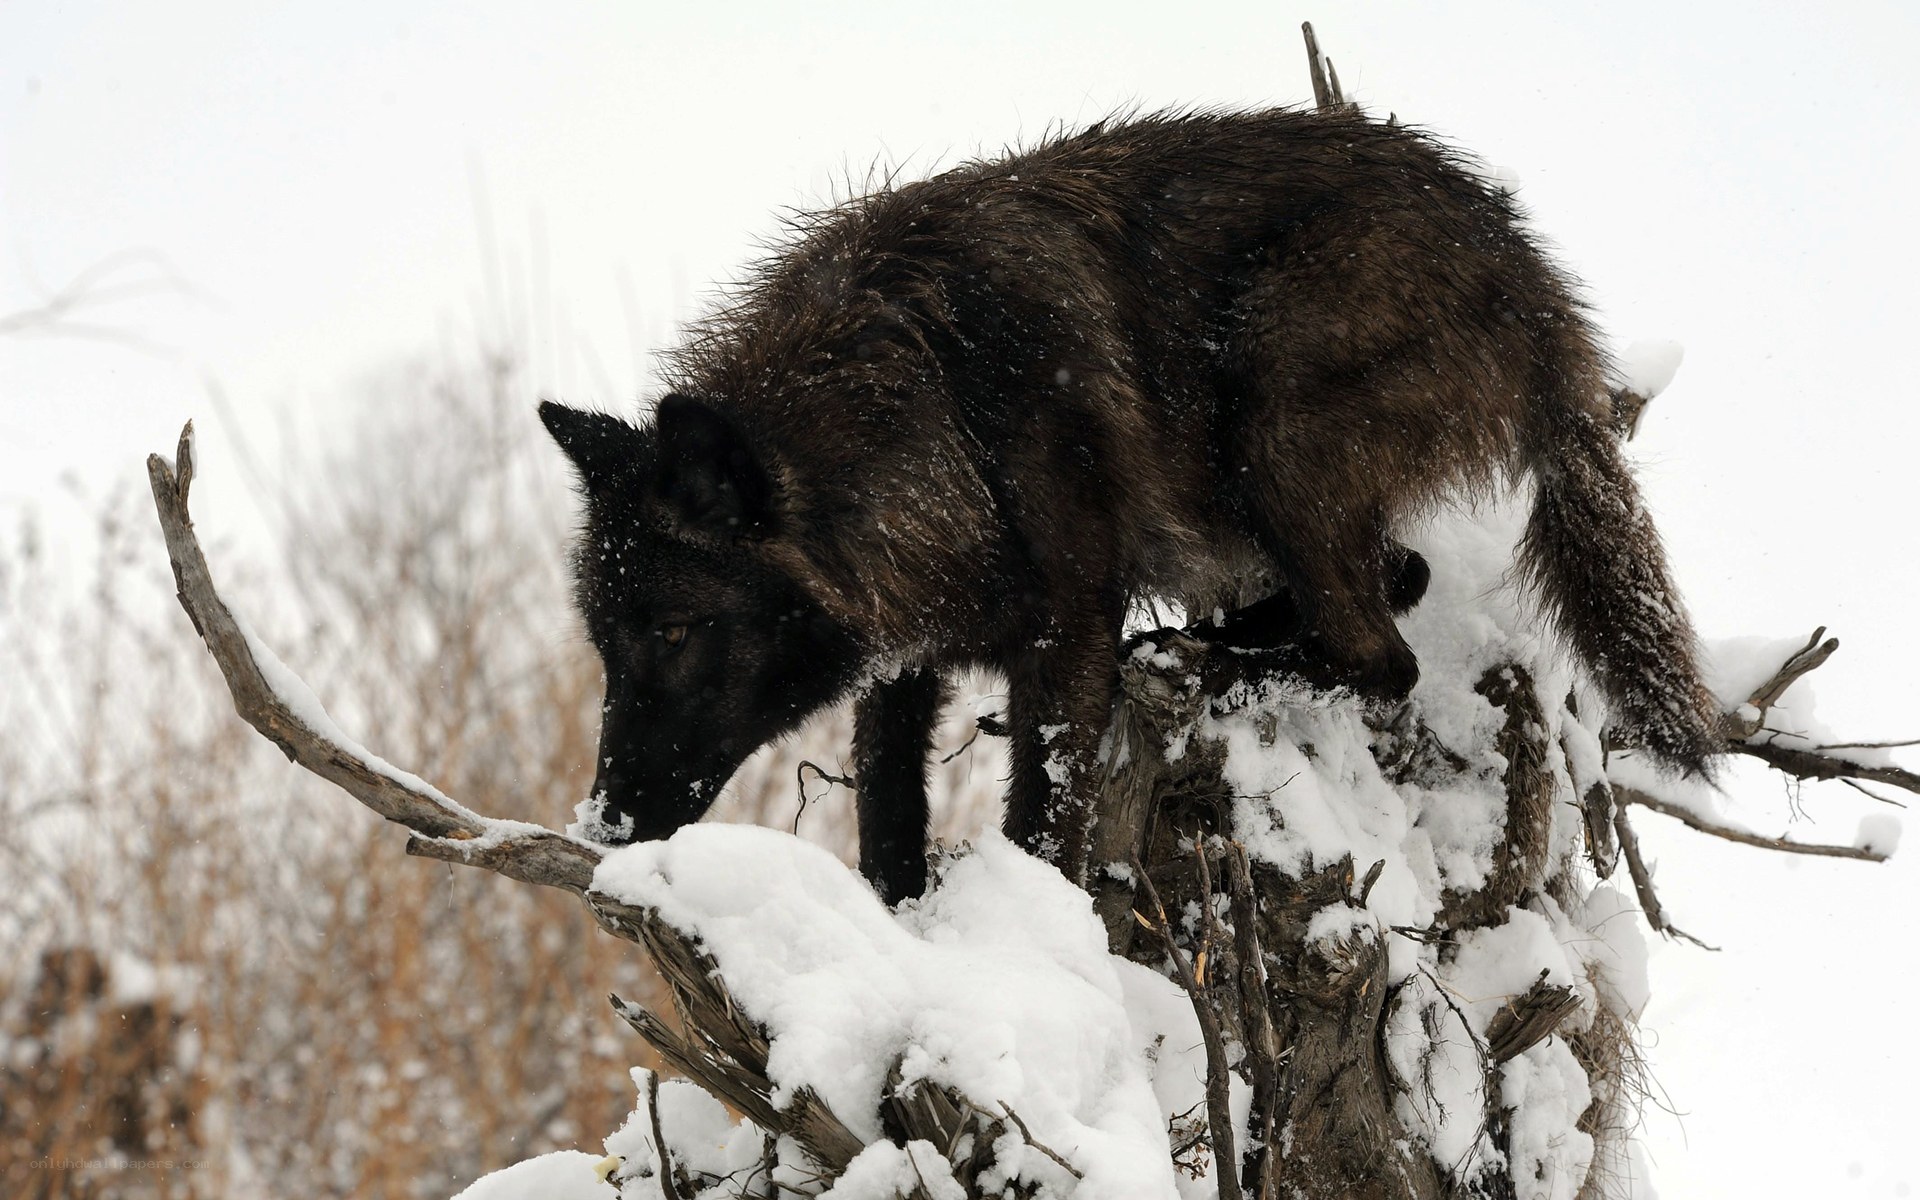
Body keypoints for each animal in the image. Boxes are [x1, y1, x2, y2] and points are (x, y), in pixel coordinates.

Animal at [541, 107, 1722, 904]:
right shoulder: (903, 658)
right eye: (606, 643)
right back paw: (1209, 644)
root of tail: (1536, 281)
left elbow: (1042, 820)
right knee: (1398, 583)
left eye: (677, 631)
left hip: (1271, 409)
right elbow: (885, 814)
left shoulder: (1066, 633)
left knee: (1382, 655)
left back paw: (1213, 662)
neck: (936, 408)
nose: (602, 823)